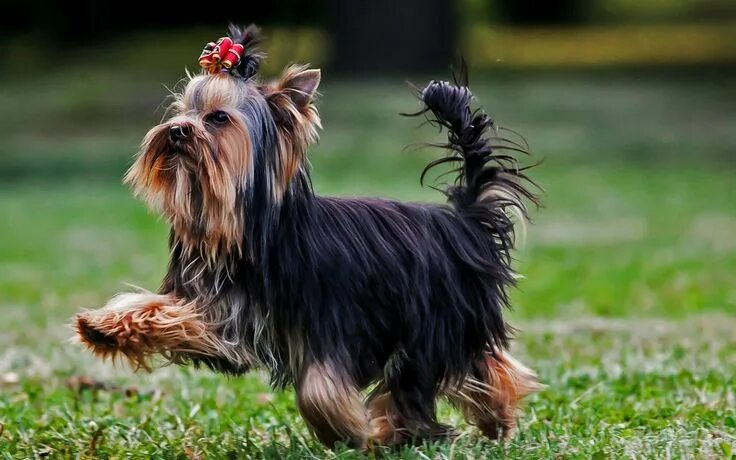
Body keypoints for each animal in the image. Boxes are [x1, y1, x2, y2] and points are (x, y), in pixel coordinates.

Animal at [76, 24, 540, 450]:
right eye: (180, 111)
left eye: (218, 118)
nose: (175, 130)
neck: (245, 229)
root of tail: (464, 219)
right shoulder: (221, 312)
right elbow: (163, 310)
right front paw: (104, 326)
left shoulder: (331, 320)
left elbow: (319, 388)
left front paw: (346, 430)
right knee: (476, 368)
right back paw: (482, 420)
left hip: (433, 322)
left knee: (436, 375)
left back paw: (423, 427)